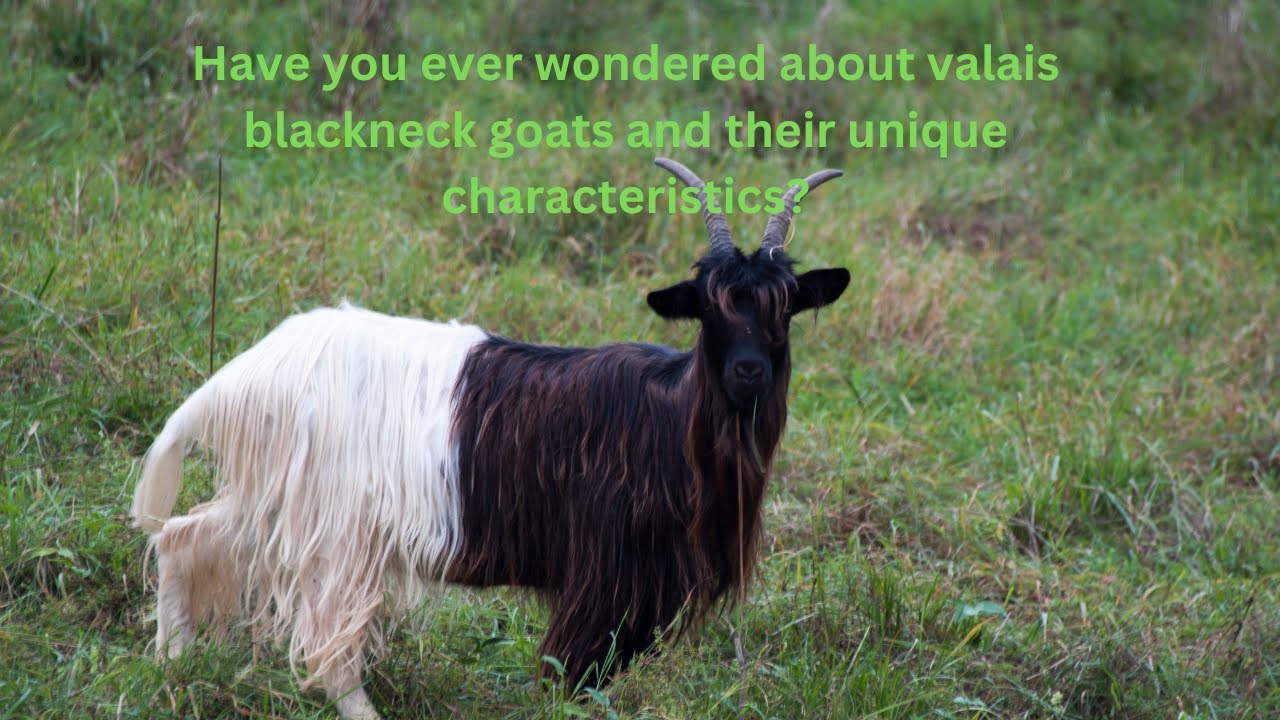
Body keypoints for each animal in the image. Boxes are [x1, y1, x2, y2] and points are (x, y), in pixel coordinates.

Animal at [132, 158, 849, 719]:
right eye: (706, 307)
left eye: (786, 306)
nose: (748, 370)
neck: (672, 421)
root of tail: (243, 374)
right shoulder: (602, 575)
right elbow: (572, 677)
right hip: (334, 523)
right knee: (326, 642)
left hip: (280, 497)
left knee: (184, 536)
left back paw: (172, 667)